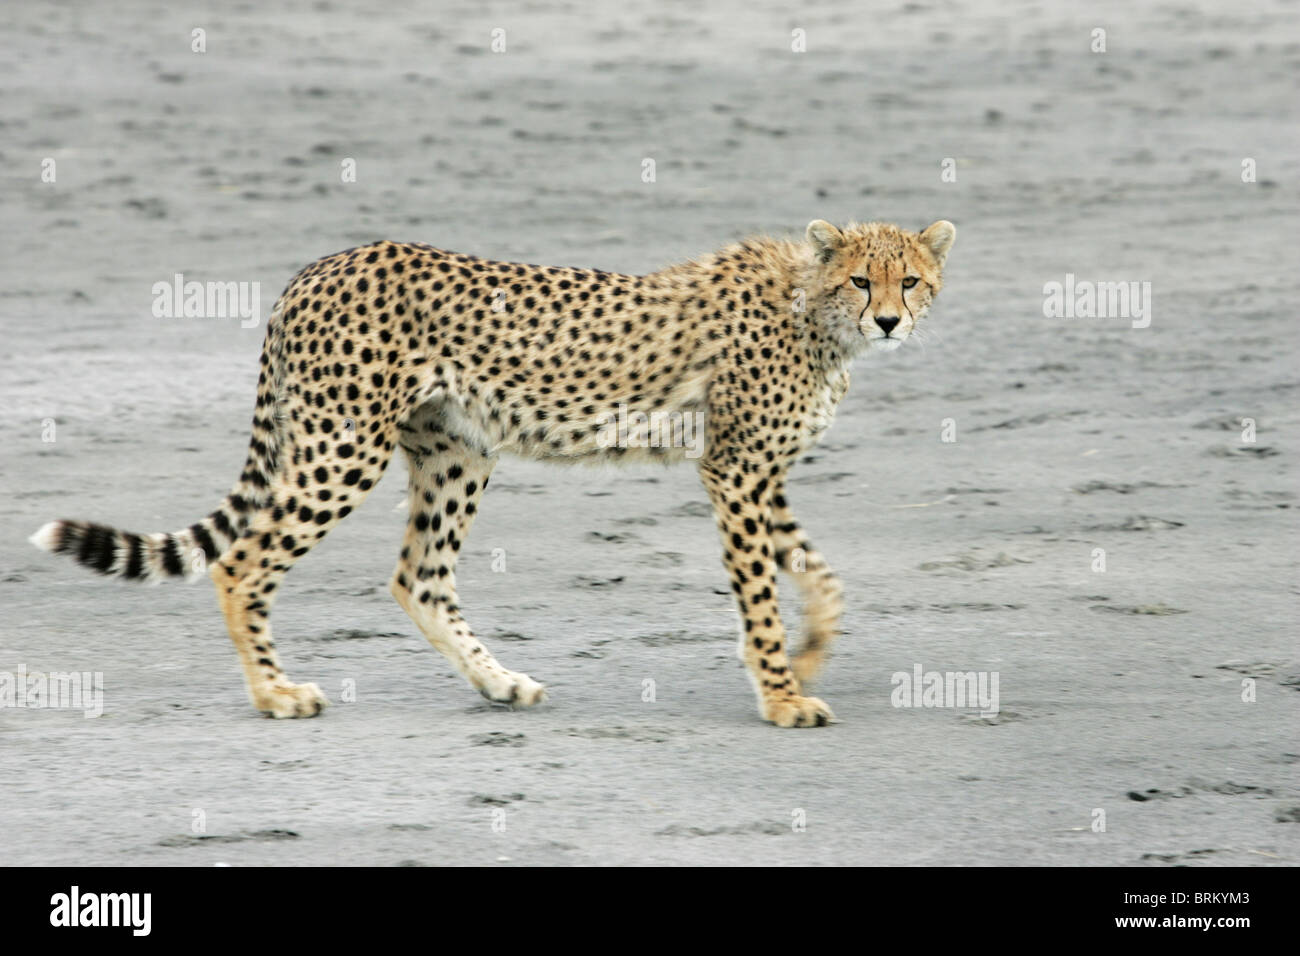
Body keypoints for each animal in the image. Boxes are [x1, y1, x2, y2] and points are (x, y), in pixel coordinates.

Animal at [30, 218, 956, 723]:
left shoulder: (758, 474)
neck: (812, 312)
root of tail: (320, 265)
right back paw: (275, 693)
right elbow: (762, 593)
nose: (886, 321)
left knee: (418, 576)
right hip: (344, 448)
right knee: (243, 561)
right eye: (860, 279)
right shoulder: (736, 470)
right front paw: (782, 694)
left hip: (456, 450)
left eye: (910, 280)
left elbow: (820, 574)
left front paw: (808, 655)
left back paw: (500, 683)